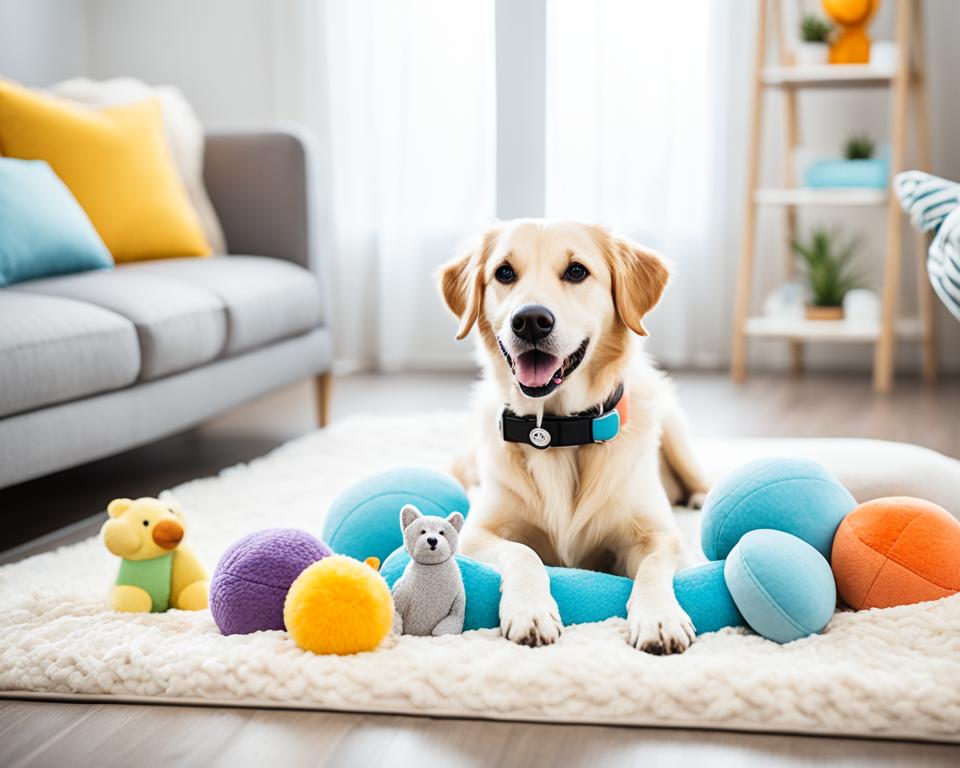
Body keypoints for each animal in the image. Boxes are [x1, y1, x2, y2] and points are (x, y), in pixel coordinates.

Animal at [438, 220, 708, 656]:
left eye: (577, 271)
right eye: (504, 273)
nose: (530, 320)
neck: (554, 429)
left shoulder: (658, 536)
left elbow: (653, 568)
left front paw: (659, 618)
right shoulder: (478, 534)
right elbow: (523, 552)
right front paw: (531, 611)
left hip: (678, 438)